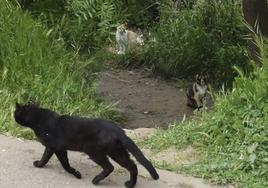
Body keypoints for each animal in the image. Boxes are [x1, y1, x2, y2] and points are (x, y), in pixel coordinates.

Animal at [13, 103, 158, 187]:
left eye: (15, 113)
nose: (13, 115)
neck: (39, 119)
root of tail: (118, 130)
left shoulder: (57, 147)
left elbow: (63, 164)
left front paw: (76, 174)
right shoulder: (53, 148)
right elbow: (47, 158)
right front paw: (40, 165)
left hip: (95, 152)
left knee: (110, 167)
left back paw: (95, 181)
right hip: (117, 152)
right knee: (132, 165)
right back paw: (130, 184)